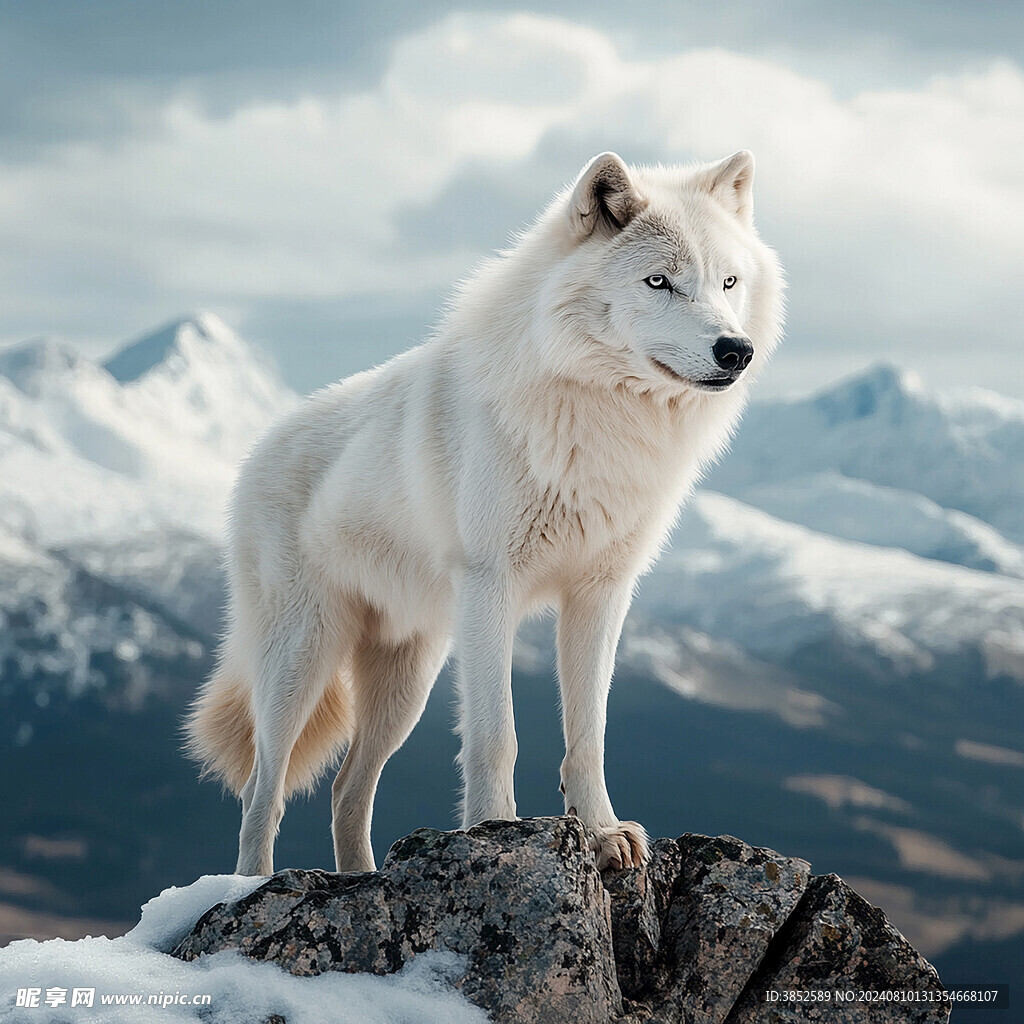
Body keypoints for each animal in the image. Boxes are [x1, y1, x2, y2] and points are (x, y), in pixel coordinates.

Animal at [184, 148, 782, 876]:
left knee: (346, 790)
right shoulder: (492, 586)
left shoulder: (601, 594)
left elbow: (587, 735)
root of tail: (257, 448)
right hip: (301, 661)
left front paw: (602, 833)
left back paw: (361, 877)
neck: (600, 418)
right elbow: (498, 735)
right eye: (660, 281)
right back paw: (248, 885)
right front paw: (497, 833)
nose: (735, 350)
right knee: (261, 793)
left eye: (728, 281)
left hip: (405, 686)